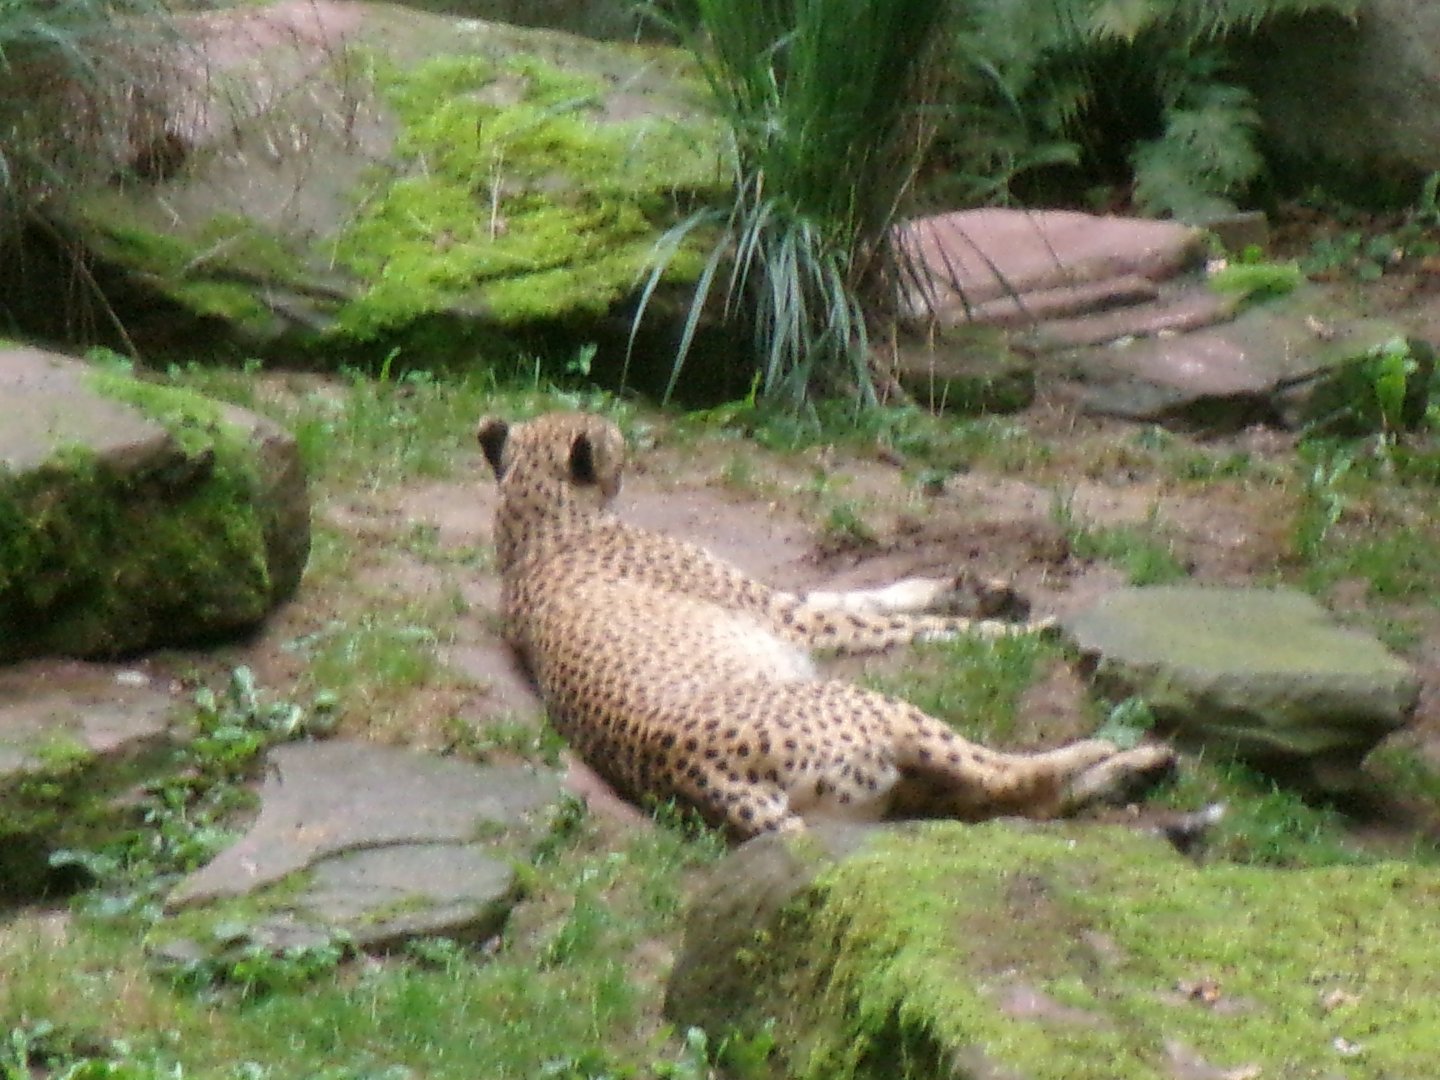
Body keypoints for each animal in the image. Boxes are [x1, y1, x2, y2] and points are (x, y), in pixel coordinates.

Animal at [477, 410, 1175, 840]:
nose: (627, 440)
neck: (537, 527)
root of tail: (695, 776)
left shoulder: (785, 604)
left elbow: (871, 595)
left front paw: (977, 591)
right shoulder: (789, 620)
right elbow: (900, 625)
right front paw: (1015, 630)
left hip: (892, 794)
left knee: (1012, 803)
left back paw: (1131, 769)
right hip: (887, 718)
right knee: (1008, 778)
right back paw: (1116, 751)